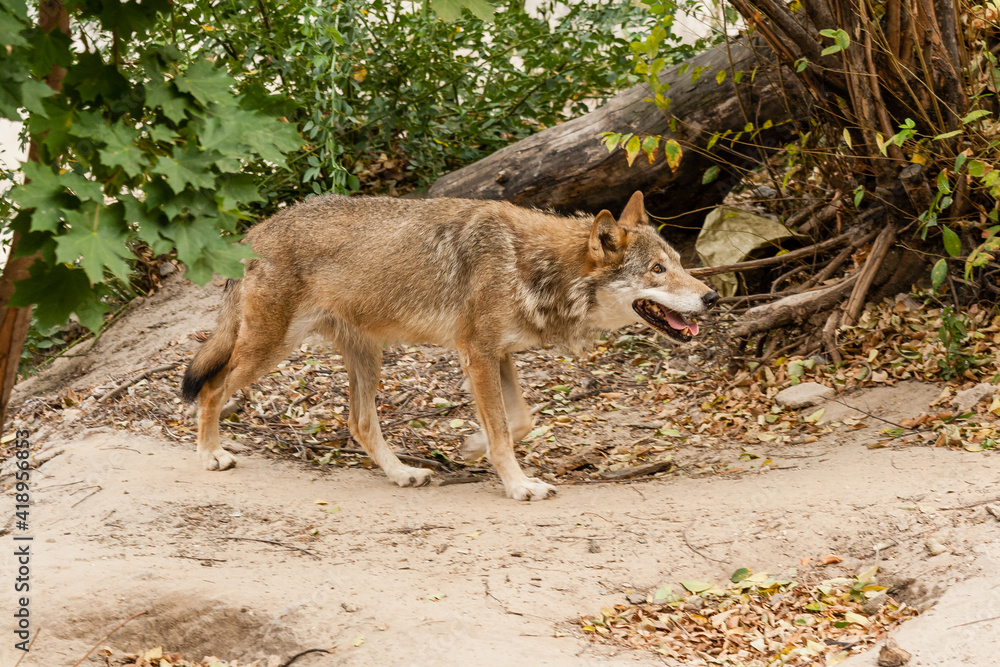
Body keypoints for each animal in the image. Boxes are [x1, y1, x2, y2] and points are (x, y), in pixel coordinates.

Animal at [181, 191, 717, 501]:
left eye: (678, 263)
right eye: (658, 270)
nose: (711, 297)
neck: (533, 265)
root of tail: (253, 233)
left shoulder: (498, 354)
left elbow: (519, 421)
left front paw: (471, 447)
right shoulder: (477, 353)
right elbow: (504, 431)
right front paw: (519, 485)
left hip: (368, 357)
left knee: (358, 423)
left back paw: (402, 475)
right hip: (271, 348)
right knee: (211, 389)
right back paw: (210, 455)